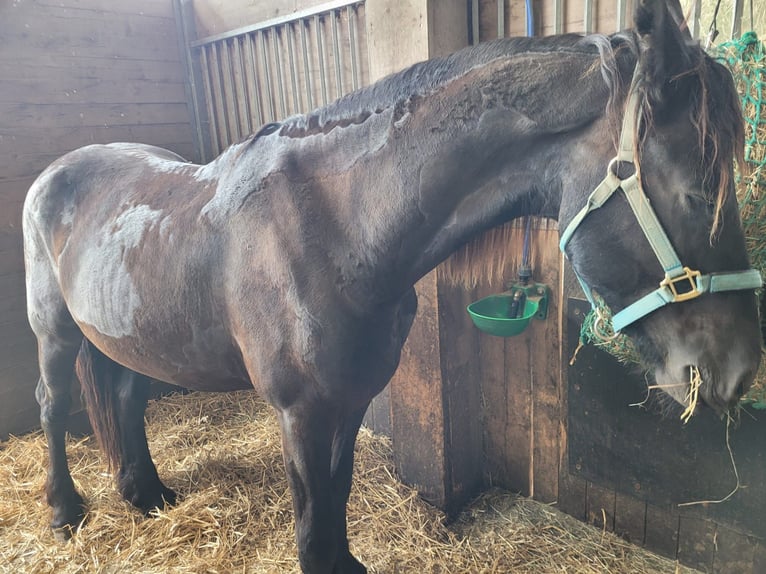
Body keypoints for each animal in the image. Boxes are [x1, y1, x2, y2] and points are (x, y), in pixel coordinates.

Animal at [22, 1, 762, 572]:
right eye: (700, 194)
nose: (739, 372)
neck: (337, 229)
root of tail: (56, 170)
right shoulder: (300, 413)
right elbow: (313, 530)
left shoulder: (350, 399)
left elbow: (338, 501)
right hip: (54, 332)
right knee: (54, 406)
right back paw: (64, 511)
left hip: (133, 334)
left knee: (124, 396)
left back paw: (144, 493)